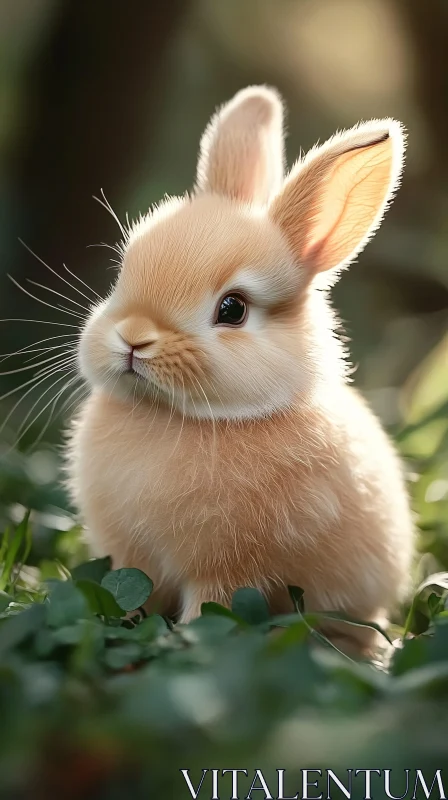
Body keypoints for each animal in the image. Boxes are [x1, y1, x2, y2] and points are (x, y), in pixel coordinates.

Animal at [66, 86, 412, 656]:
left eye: (232, 309)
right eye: (124, 269)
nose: (133, 337)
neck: (180, 418)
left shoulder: (227, 573)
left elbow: (212, 608)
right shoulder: (132, 558)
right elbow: (131, 592)